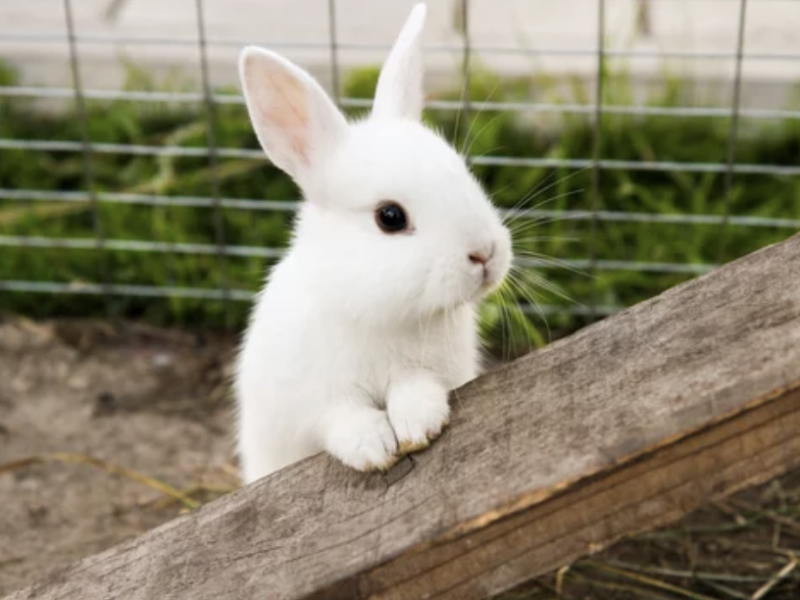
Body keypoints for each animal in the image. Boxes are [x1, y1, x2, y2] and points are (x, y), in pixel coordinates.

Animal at [234, 2, 512, 484]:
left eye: (463, 172)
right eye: (390, 217)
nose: (485, 253)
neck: (379, 313)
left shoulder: (432, 370)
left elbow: (416, 388)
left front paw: (418, 424)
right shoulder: (314, 400)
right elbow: (342, 419)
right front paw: (374, 447)